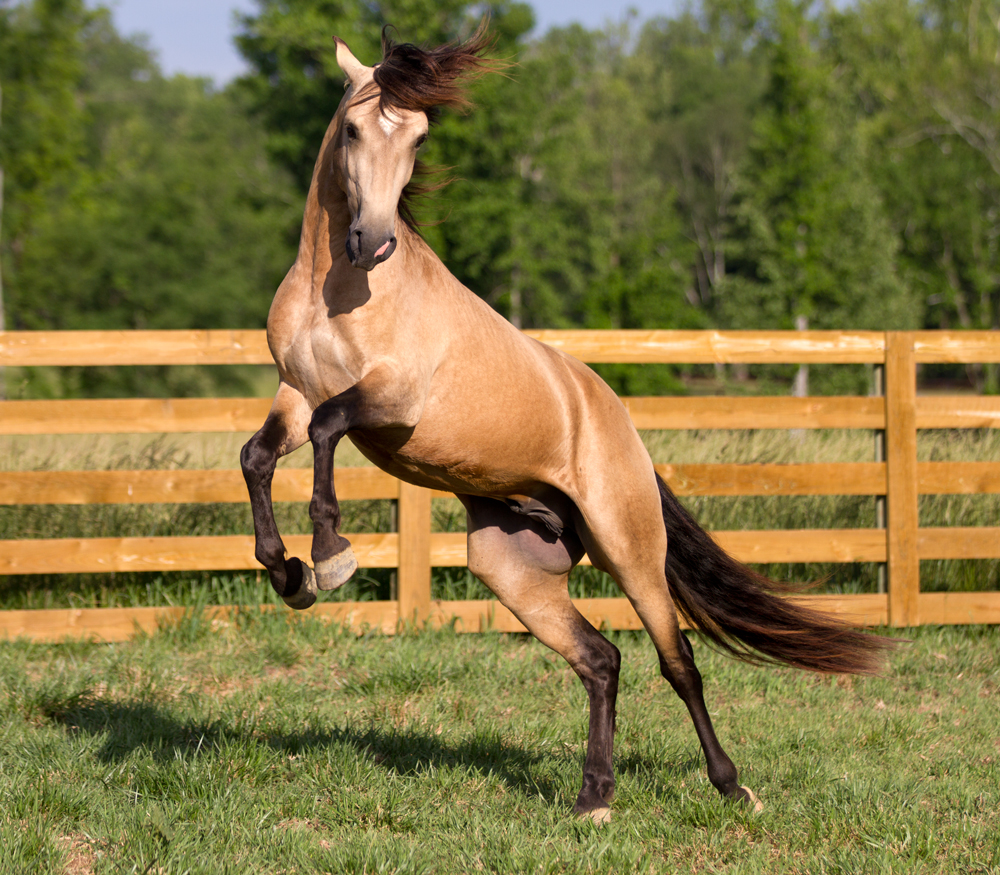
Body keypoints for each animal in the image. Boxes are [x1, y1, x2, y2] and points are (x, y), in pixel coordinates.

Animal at [242, 25, 892, 820]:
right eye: (355, 129)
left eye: (420, 138)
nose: (373, 242)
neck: (334, 291)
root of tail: (626, 434)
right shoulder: (294, 392)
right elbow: (259, 457)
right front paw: (290, 574)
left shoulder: (391, 401)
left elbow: (330, 430)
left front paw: (330, 554)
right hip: (514, 571)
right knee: (600, 659)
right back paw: (594, 797)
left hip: (631, 553)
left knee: (679, 663)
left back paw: (732, 785)